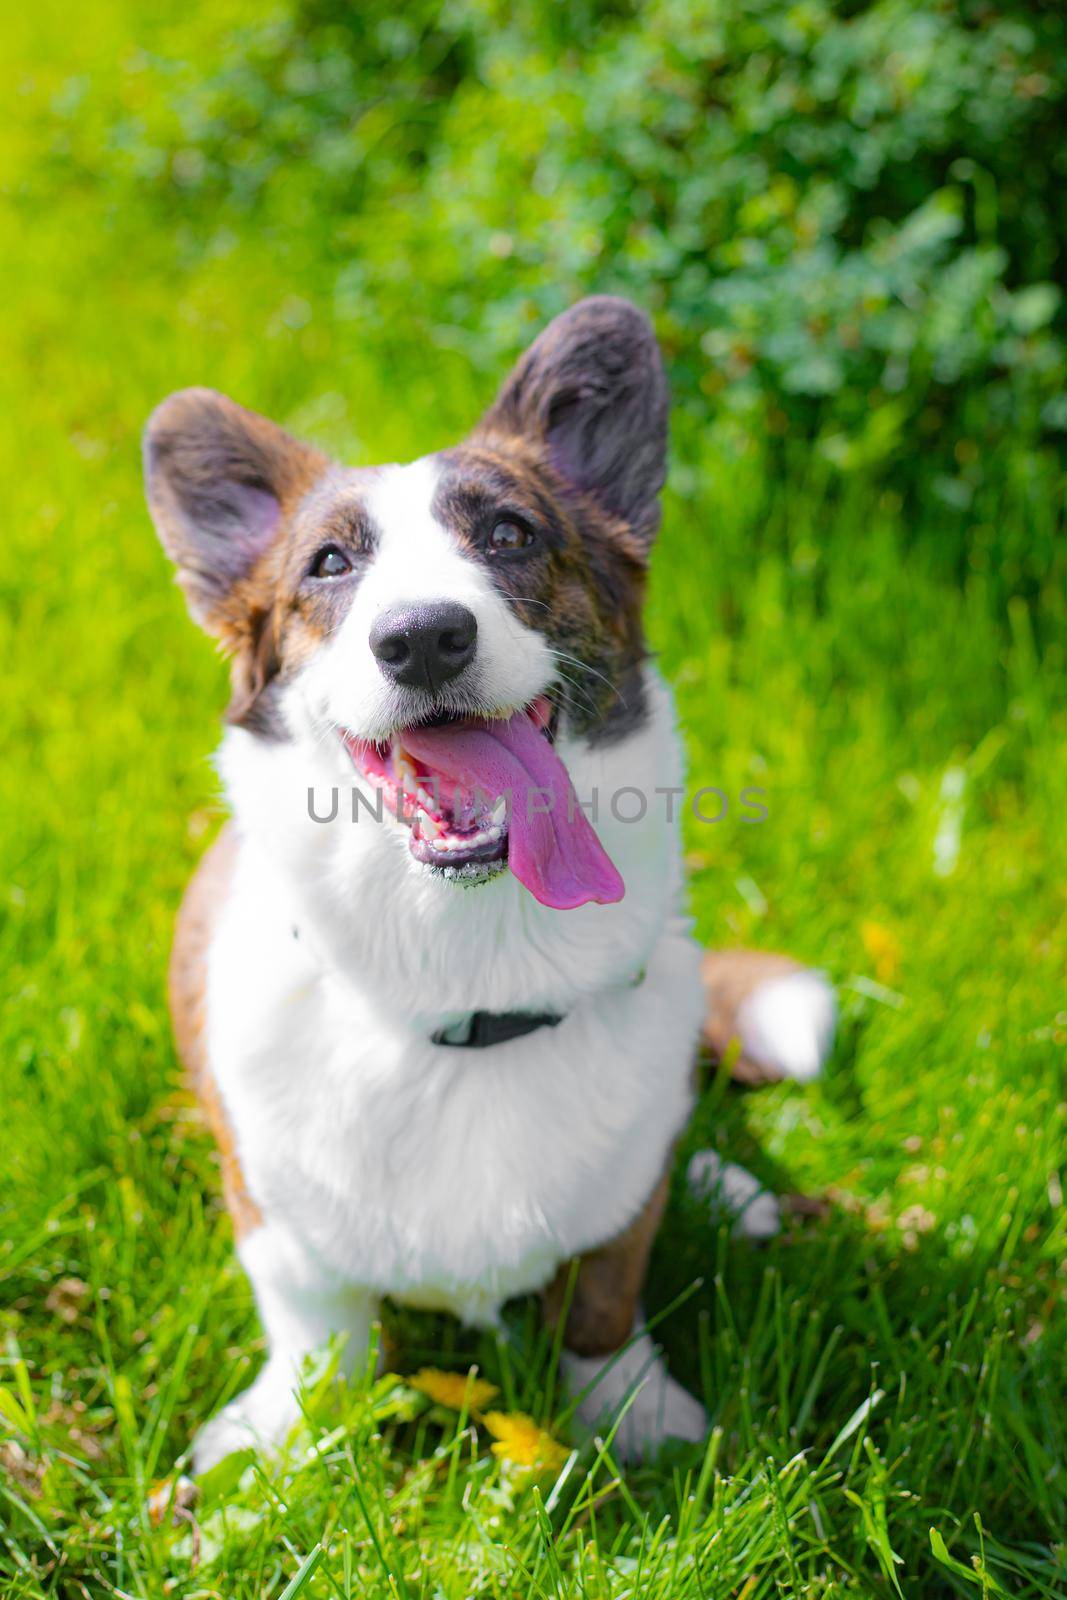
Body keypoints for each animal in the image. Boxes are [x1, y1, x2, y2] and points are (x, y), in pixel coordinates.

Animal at [146, 294, 838, 1465]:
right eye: (328, 565)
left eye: (511, 533)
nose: (423, 636)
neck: (466, 970)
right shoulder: (277, 1219)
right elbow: (319, 1326)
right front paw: (289, 1437)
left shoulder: (614, 1221)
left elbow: (604, 1290)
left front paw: (636, 1416)